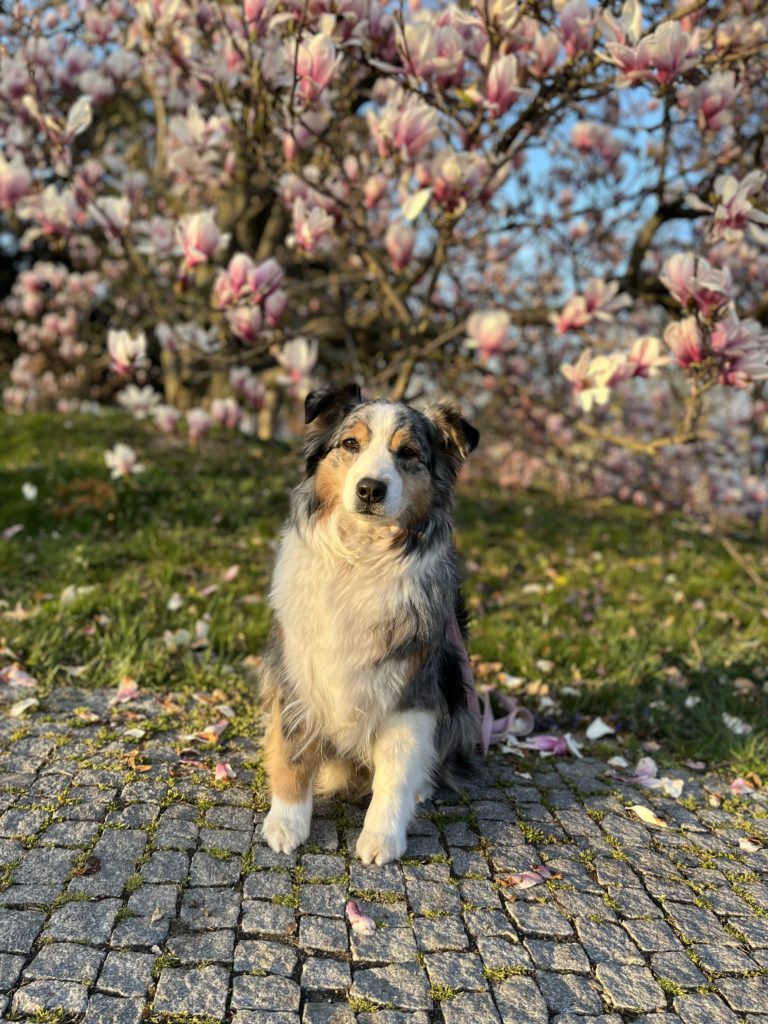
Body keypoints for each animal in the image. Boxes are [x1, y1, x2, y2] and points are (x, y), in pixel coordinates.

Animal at [264, 385, 481, 864]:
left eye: (408, 453)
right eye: (351, 444)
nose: (369, 489)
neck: (360, 560)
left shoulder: (414, 690)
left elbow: (395, 773)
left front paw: (382, 836)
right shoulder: (297, 672)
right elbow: (293, 750)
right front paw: (286, 822)